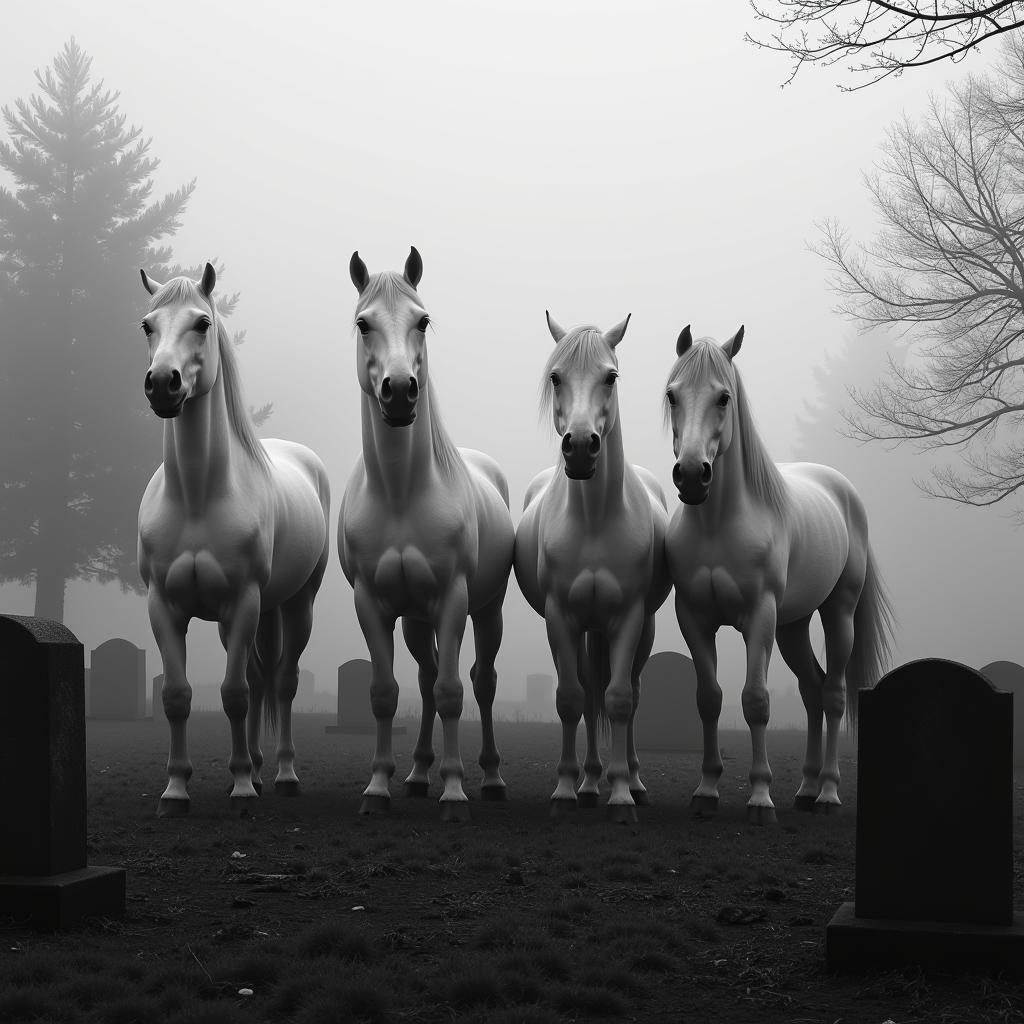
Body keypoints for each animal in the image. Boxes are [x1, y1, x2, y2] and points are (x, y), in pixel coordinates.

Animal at [138, 262, 329, 815]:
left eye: (202, 322)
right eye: (147, 325)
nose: (163, 384)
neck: (198, 497)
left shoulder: (244, 600)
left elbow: (235, 694)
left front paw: (243, 786)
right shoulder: (164, 607)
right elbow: (178, 696)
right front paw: (176, 789)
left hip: (294, 604)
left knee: (281, 683)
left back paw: (280, 775)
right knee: (260, 678)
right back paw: (257, 771)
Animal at [339, 247, 516, 823]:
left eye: (422, 320)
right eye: (363, 323)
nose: (399, 392)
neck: (400, 494)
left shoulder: (454, 600)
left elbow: (453, 691)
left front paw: (456, 793)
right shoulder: (371, 604)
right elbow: (384, 692)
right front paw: (377, 787)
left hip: (487, 611)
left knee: (482, 683)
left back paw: (491, 779)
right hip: (415, 620)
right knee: (421, 676)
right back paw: (417, 775)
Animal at [512, 313, 671, 823]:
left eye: (611, 377)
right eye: (556, 377)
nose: (581, 448)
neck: (596, 519)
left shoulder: (629, 618)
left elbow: (619, 700)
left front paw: (621, 796)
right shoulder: (561, 618)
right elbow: (570, 699)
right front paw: (565, 789)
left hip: (641, 629)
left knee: (630, 694)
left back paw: (632, 781)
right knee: (586, 693)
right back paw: (587, 782)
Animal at [663, 327, 888, 823]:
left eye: (724, 398)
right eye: (672, 395)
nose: (691, 476)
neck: (718, 524)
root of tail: (843, 490)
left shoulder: (759, 618)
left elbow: (756, 701)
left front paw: (760, 797)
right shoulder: (694, 618)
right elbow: (709, 699)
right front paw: (707, 790)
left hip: (836, 615)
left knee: (833, 694)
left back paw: (827, 793)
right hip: (792, 626)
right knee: (812, 689)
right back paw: (805, 789)